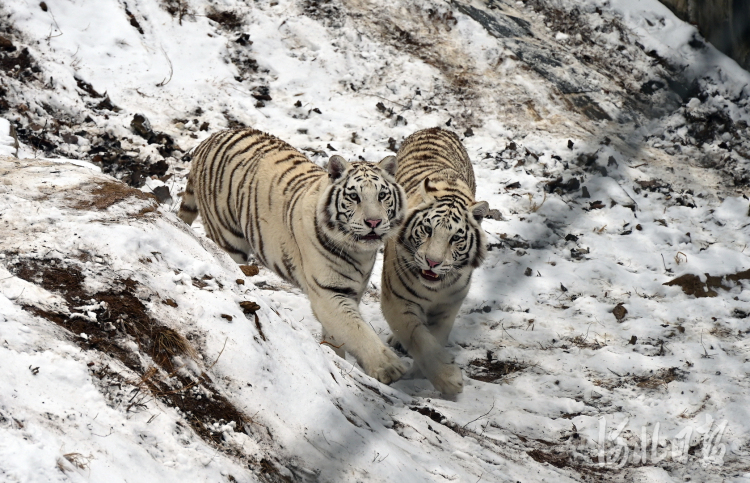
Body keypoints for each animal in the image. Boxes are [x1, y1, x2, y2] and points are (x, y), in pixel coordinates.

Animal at [179, 129, 408, 386]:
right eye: (354, 197)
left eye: (382, 195)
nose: (374, 222)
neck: (360, 252)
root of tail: (212, 137)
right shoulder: (329, 293)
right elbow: (357, 330)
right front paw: (388, 367)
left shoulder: (353, 290)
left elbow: (338, 335)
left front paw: (337, 358)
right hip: (228, 237)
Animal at [382, 126, 494, 396]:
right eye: (427, 229)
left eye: (455, 238)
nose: (432, 262)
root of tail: (436, 128)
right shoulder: (397, 301)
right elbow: (421, 341)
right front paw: (449, 379)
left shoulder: (448, 306)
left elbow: (436, 339)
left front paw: (421, 377)